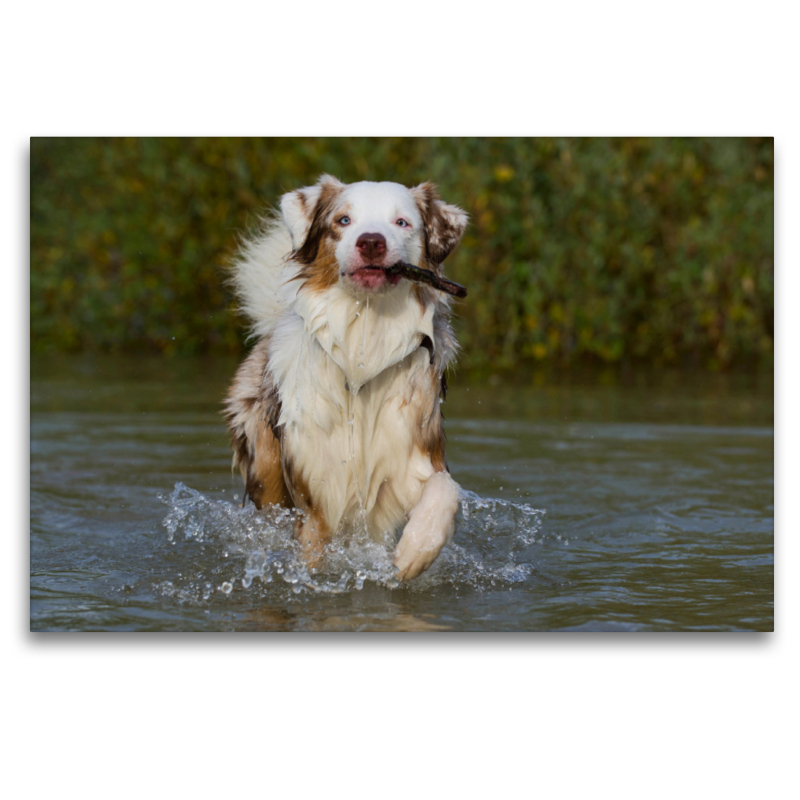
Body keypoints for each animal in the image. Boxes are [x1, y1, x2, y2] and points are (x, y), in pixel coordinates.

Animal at [222, 175, 468, 580]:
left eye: (402, 222)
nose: (371, 241)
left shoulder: (417, 448)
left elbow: (446, 489)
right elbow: (313, 552)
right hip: (266, 468)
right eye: (343, 220)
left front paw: (415, 551)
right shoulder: (316, 492)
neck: (362, 345)